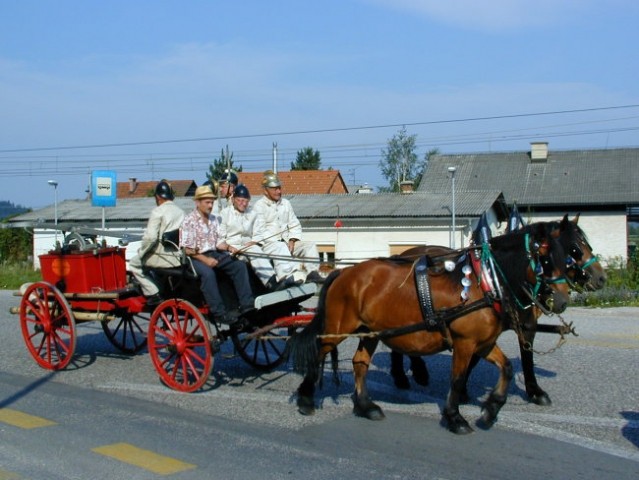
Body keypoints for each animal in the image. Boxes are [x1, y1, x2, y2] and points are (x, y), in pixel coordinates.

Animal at [290, 223, 568, 434]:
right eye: (545, 259)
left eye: (567, 256)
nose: (562, 300)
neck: (486, 284)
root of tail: (343, 272)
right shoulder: (465, 342)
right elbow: (457, 379)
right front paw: (455, 417)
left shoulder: (484, 343)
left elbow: (507, 368)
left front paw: (491, 408)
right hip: (338, 328)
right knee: (318, 353)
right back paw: (305, 399)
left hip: (371, 332)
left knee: (360, 362)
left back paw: (366, 406)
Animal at [392, 216, 608, 404]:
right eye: (574, 249)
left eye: (587, 245)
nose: (601, 278)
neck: (502, 275)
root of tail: (402, 255)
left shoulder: (519, 324)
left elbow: (518, 353)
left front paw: (533, 390)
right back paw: (408, 374)